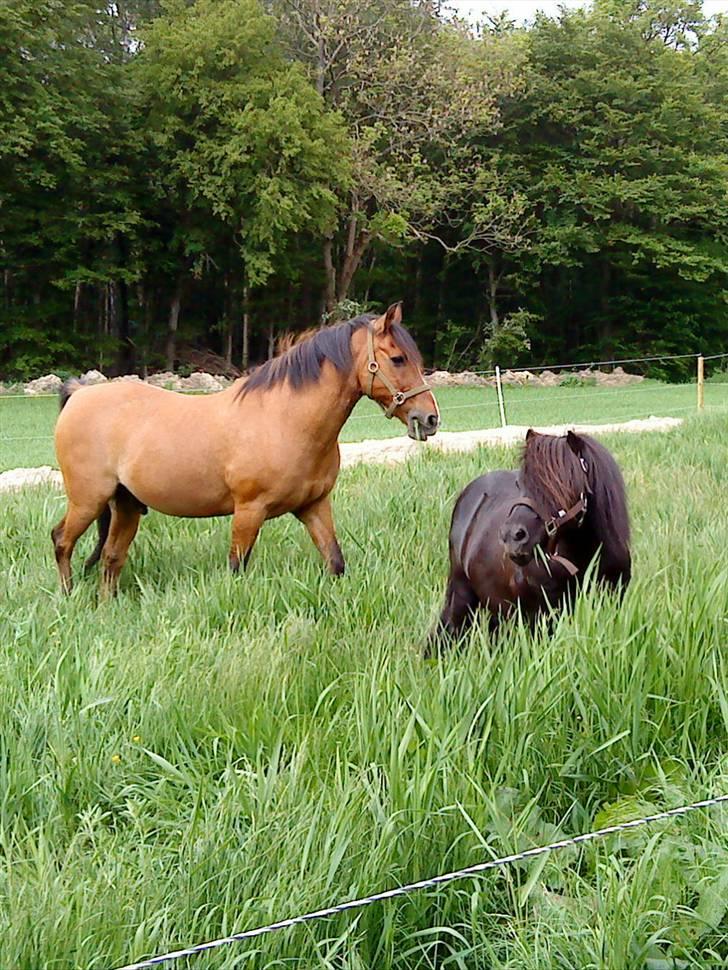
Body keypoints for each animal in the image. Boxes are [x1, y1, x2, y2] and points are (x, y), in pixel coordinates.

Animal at [52, 302, 438, 588]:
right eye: (398, 358)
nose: (430, 419)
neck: (284, 420)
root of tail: (79, 394)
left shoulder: (314, 506)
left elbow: (335, 562)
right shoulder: (249, 512)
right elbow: (237, 569)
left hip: (126, 505)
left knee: (111, 558)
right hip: (88, 500)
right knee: (61, 541)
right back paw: (68, 597)